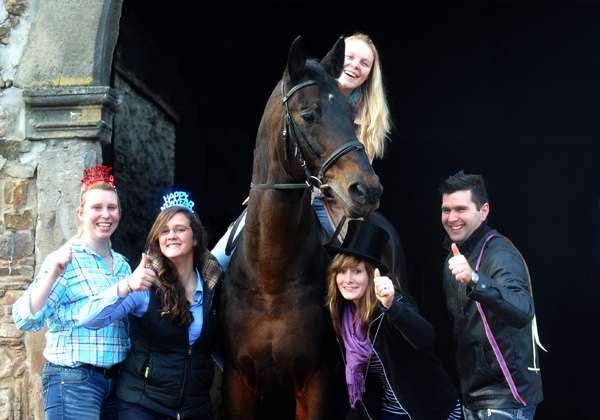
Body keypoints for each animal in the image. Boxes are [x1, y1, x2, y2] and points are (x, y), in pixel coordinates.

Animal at [220, 37, 384, 420]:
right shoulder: (238, 382)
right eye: (308, 114)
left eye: (352, 118)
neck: (271, 279)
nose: (368, 190)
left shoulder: (315, 383)